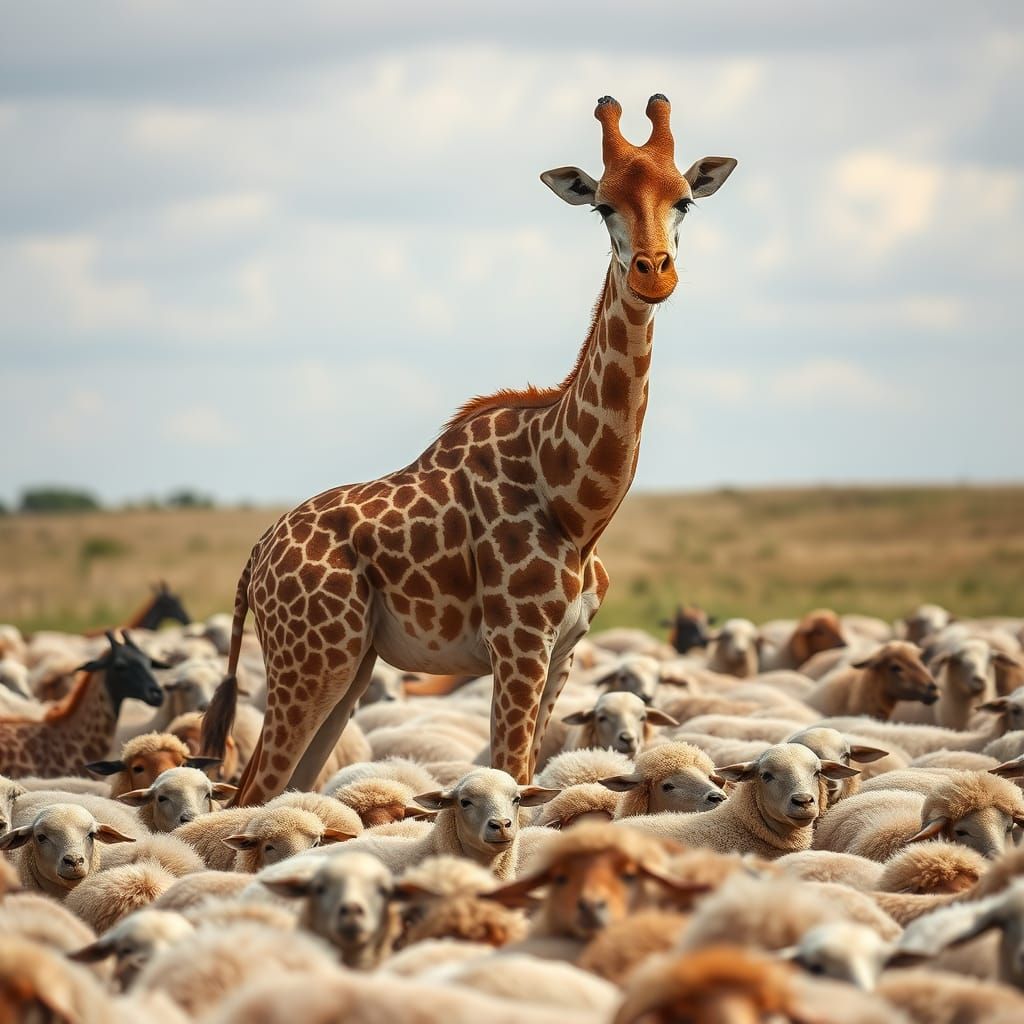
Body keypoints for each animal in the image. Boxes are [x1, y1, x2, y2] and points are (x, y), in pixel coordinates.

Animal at [203, 94, 736, 805]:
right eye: (602, 206)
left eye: (685, 201)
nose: (654, 274)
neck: (575, 503)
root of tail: (256, 558)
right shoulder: (518, 642)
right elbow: (511, 772)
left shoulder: (563, 652)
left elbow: (529, 775)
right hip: (310, 660)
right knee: (251, 792)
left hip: (350, 667)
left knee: (291, 787)